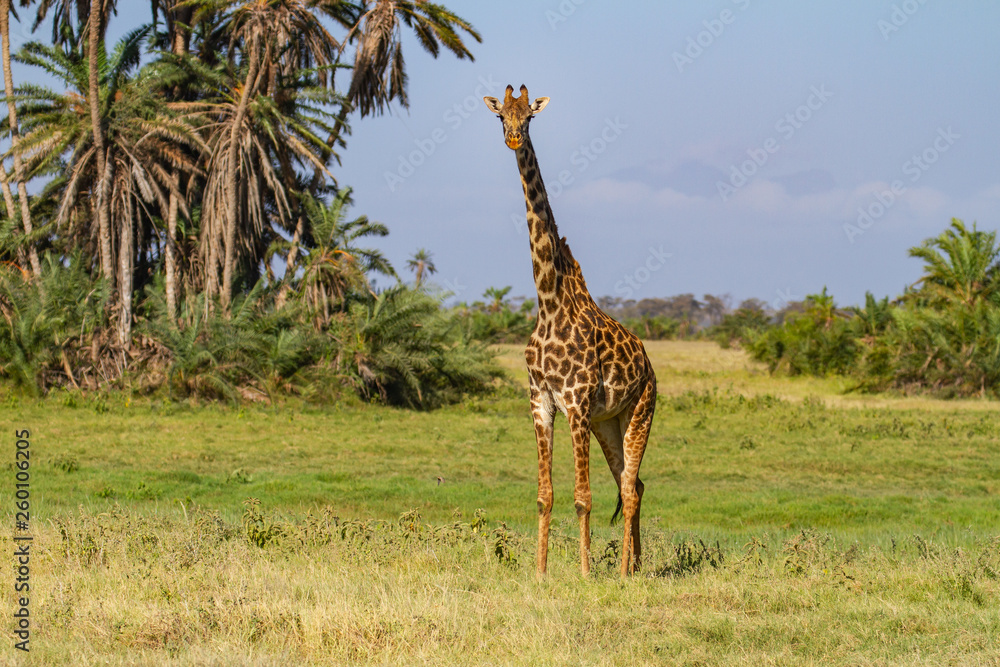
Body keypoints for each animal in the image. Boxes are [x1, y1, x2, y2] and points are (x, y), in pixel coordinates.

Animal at [484, 85, 657, 577]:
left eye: (529, 116)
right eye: (500, 115)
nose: (513, 139)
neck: (548, 303)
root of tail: (649, 365)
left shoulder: (576, 402)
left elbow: (582, 498)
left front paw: (582, 572)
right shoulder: (541, 401)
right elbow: (545, 495)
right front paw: (540, 572)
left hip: (640, 411)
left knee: (630, 488)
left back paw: (622, 573)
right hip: (608, 422)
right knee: (632, 484)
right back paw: (634, 566)